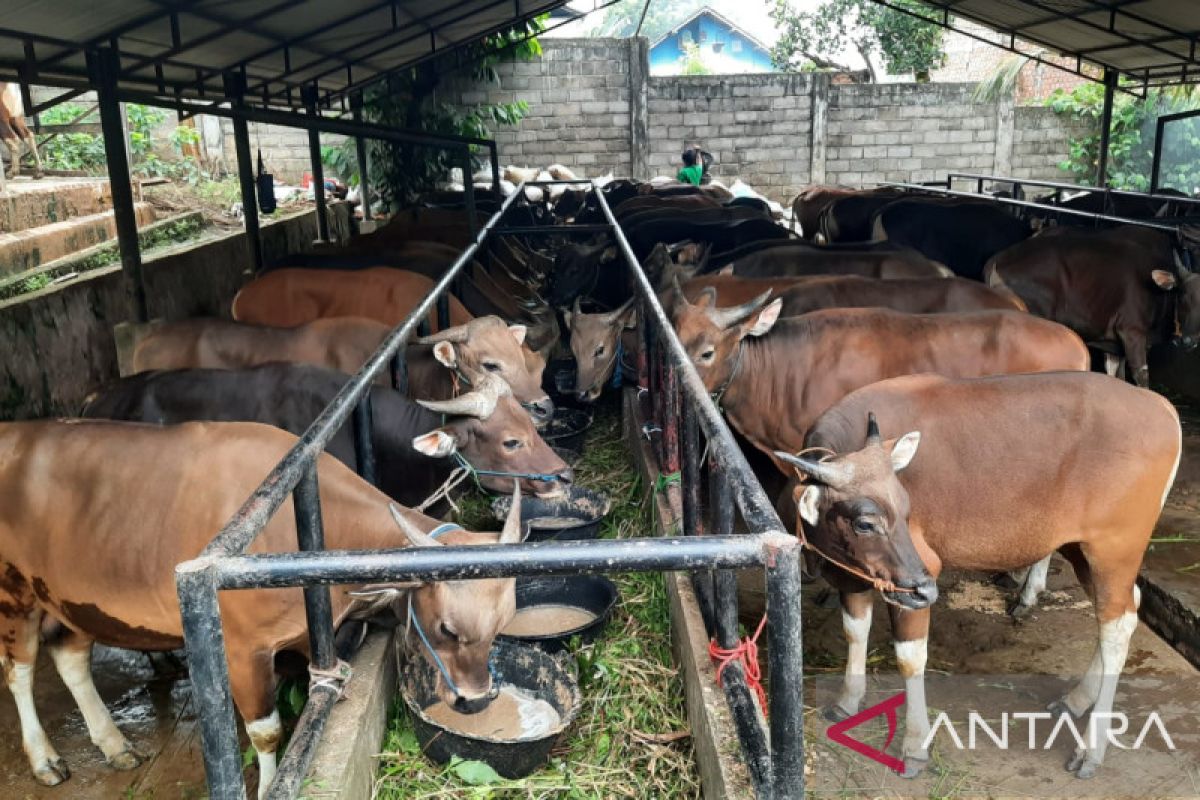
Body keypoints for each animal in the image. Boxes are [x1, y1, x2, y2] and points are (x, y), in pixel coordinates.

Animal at [0, 419, 525, 796]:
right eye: (448, 629)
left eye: (502, 623)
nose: (477, 701)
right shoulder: (241, 649)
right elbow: (268, 732)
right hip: (15, 597)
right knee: (19, 672)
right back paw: (45, 759)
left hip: (69, 599)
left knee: (70, 658)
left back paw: (113, 744)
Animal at [777, 371, 1180, 777]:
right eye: (864, 522)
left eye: (906, 508)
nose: (925, 590)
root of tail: (1161, 406)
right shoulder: (856, 576)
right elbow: (855, 631)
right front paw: (848, 699)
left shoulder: (918, 573)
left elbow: (909, 658)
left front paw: (915, 746)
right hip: (1081, 550)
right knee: (1125, 611)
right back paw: (1077, 699)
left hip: (1114, 551)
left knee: (1116, 628)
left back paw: (1091, 749)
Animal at [984, 225, 1200, 388]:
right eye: (1182, 295)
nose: (1188, 340)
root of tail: (995, 261)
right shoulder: (1132, 332)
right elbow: (1141, 377)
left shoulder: (1114, 346)